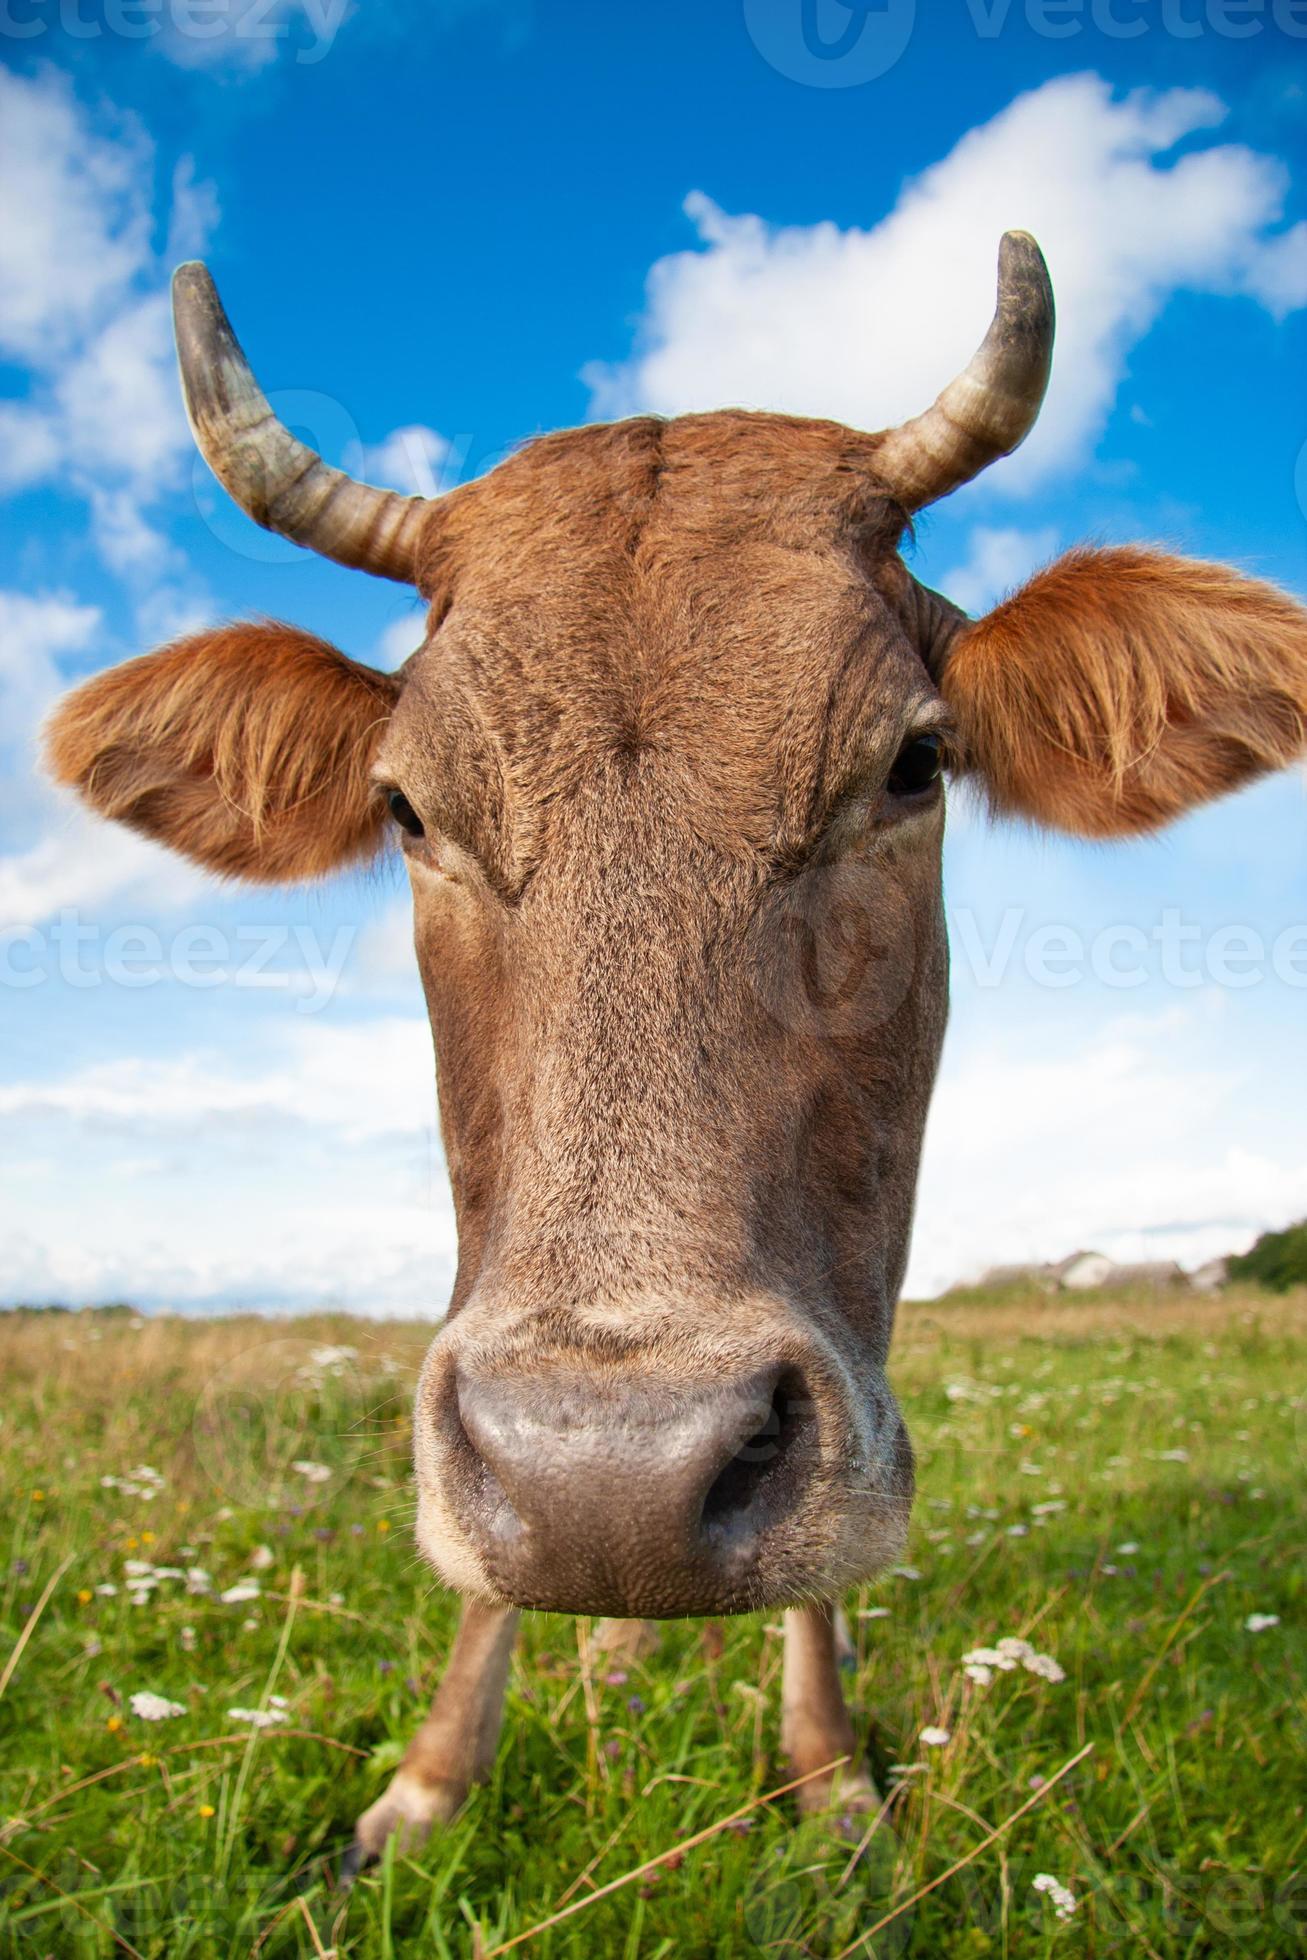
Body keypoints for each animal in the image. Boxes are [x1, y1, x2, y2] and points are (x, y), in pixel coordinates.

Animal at [45, 234, 1307, 1871]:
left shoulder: (860, 1293)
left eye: (912, 761)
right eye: (404, 807)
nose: (607, 1478)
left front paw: (831, 1771)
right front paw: (426, 1784)